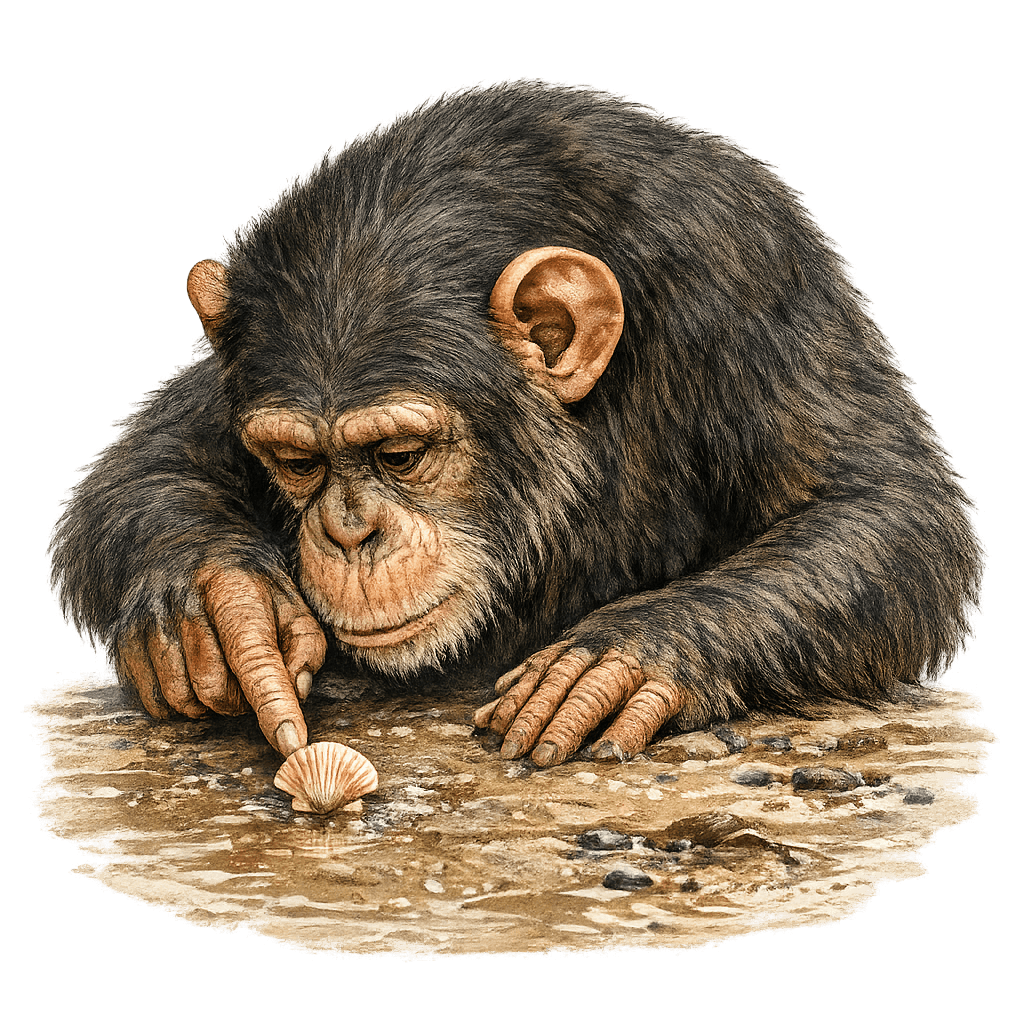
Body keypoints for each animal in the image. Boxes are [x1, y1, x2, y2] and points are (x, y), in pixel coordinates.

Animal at [46, 79, 985, 769]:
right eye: (298, 462)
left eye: (399, 453)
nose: (349, 535)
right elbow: (151, 452)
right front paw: (212, 612)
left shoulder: (741, 271)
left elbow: (881, 507)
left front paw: (625, 655)